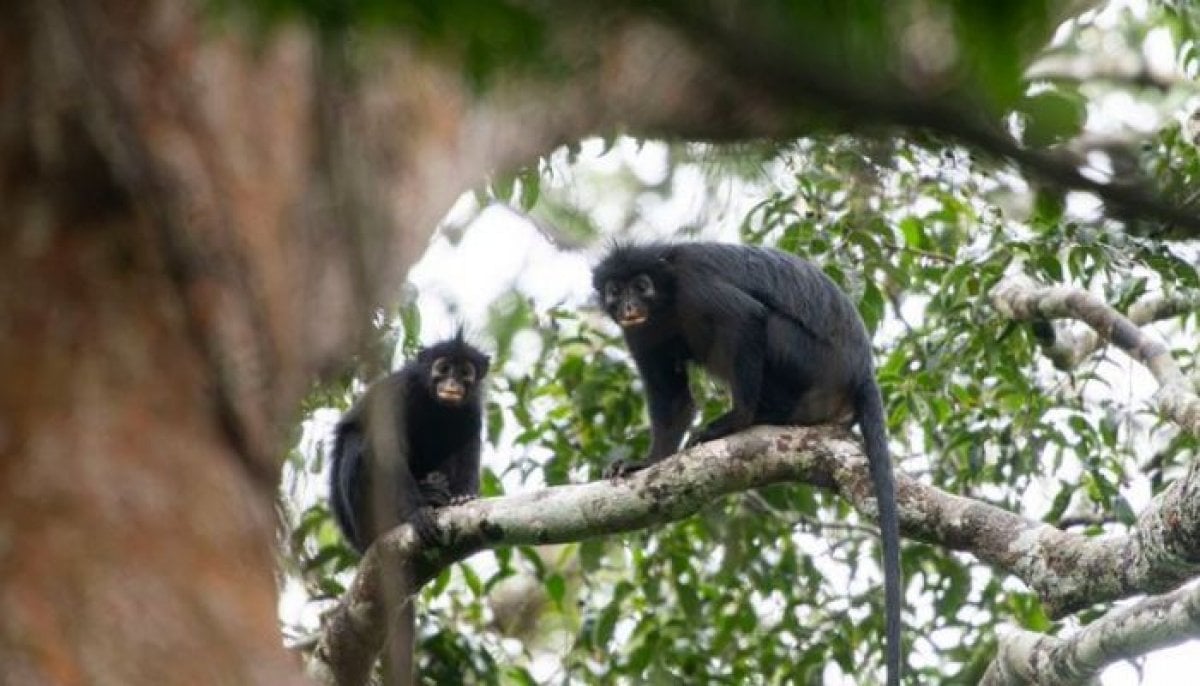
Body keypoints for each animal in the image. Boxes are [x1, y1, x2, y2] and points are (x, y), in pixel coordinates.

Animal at [593, 241, 902, 686]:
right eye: (615, 290)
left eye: (642, 284)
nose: (629, 304)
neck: (666, 300)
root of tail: (861, 369)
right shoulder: (641, 331)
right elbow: (673, 400)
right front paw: (644, 463)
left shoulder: (695, 285)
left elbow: (746, 318)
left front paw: (736, 421)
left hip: (810, 361)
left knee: (766, 324)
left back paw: (758, 416)